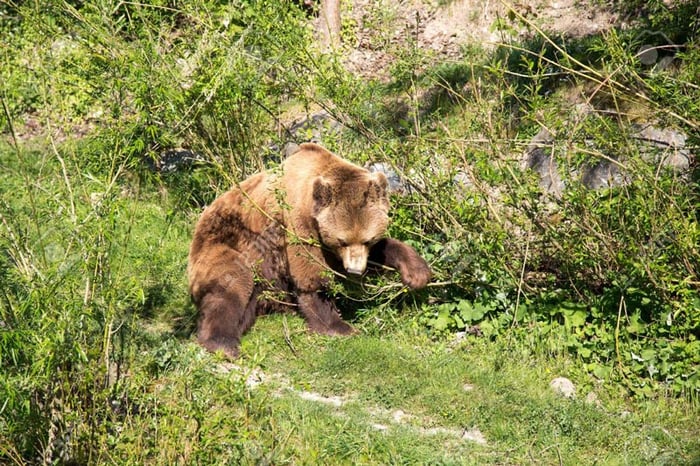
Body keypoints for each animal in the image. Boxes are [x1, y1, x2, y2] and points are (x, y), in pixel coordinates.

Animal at [189, 144, 430, 358]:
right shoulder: (295, 225)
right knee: (233, 283)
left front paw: (416, 273)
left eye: (368, 239)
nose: (354, 270)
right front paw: (338, 325)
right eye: (342, 240)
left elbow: (383, 250)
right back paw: (223, 343)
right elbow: (310, 274)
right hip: (224, 246)